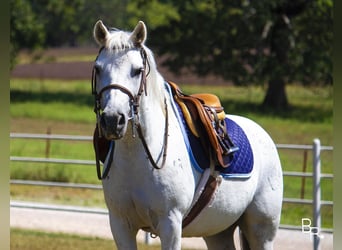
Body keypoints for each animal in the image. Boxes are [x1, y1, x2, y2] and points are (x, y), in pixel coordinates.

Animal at [91, 20, 284, 250]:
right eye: (98, 68)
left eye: (137, 70)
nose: (113, 120)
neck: (138, 157)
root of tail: (261, 133)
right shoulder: (121, 225)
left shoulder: (171, 224)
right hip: (218, 231)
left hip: (261, 231)